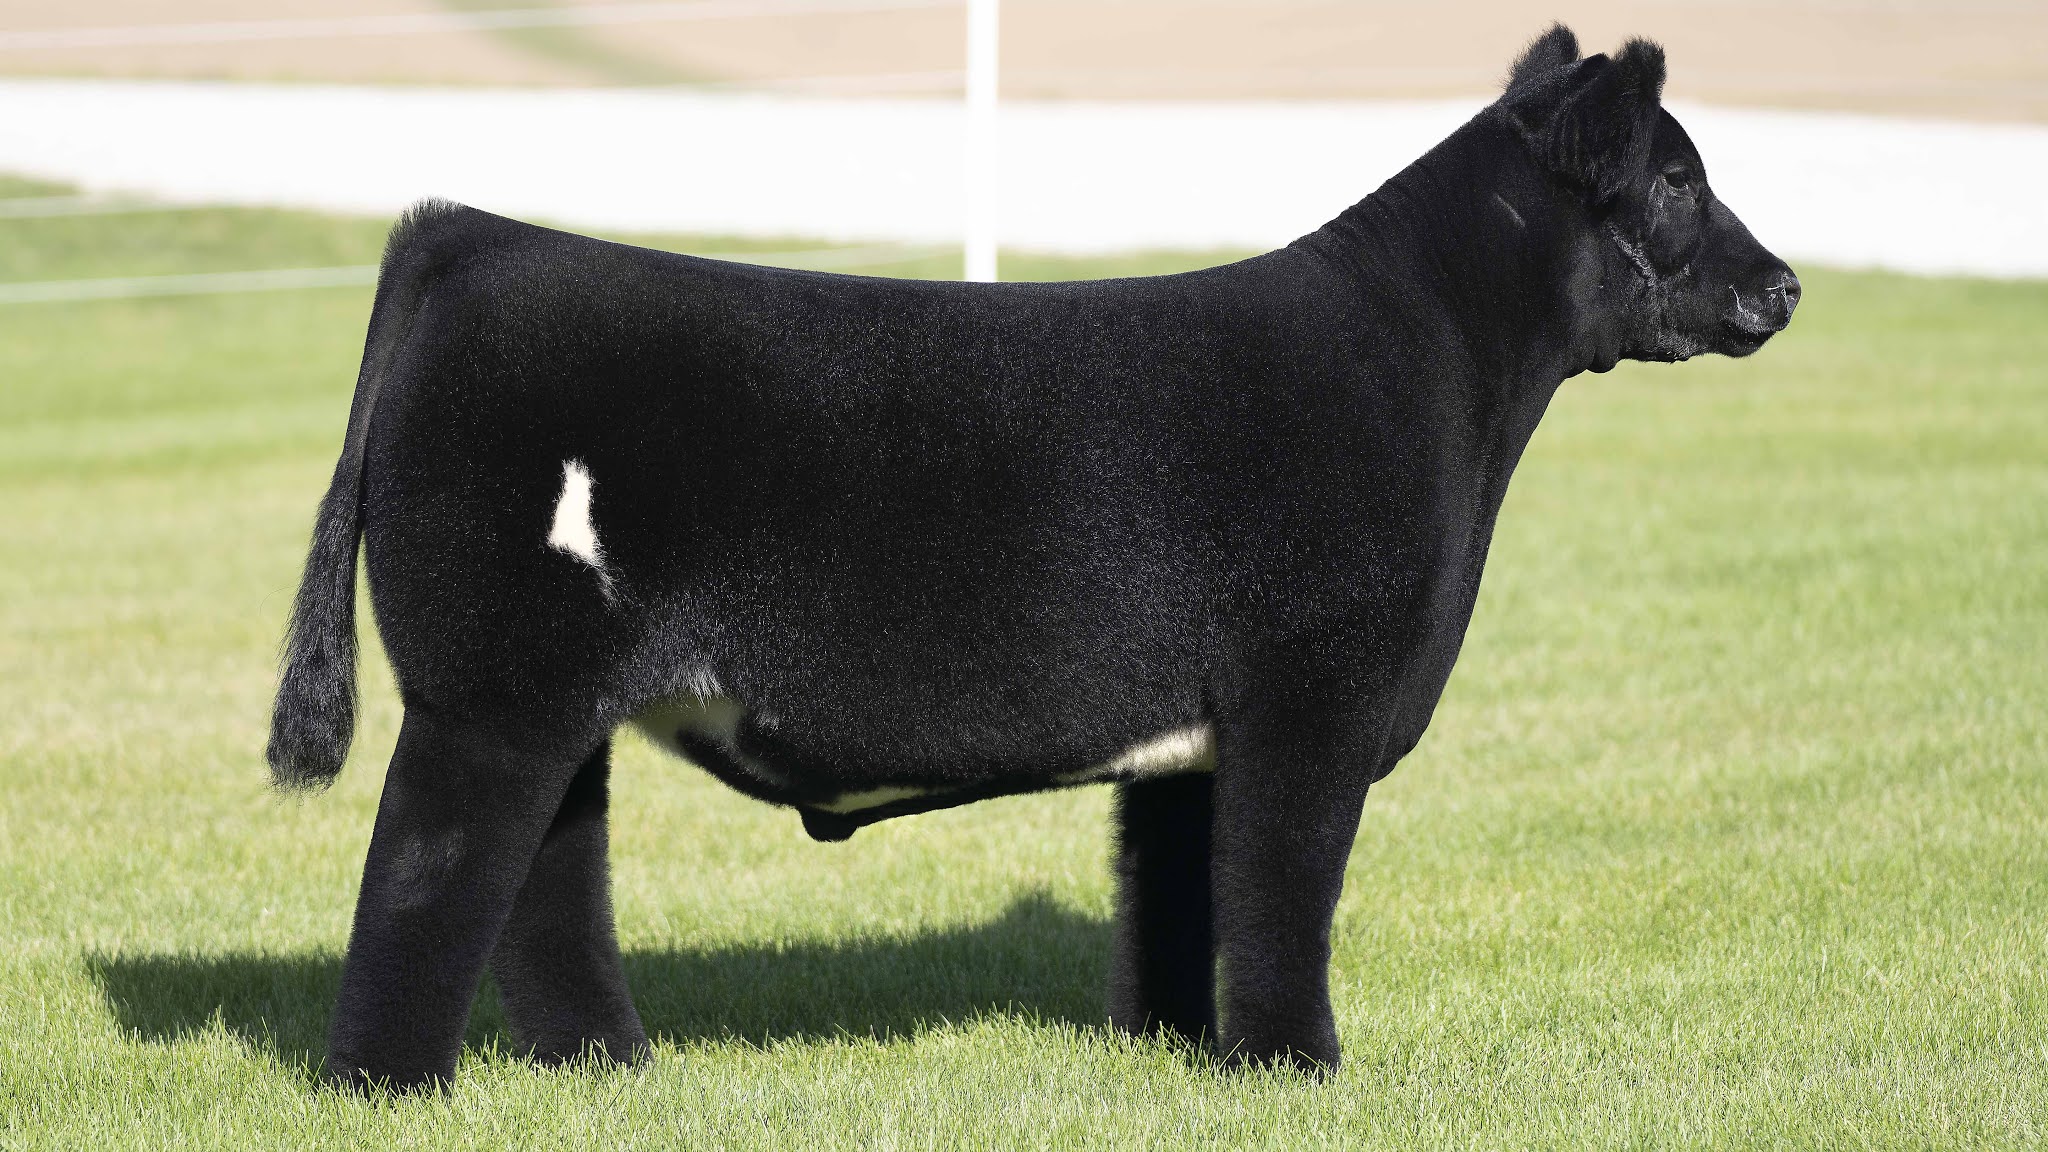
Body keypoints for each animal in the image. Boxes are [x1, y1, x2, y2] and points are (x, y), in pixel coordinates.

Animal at [267, 25, 1799, 1091]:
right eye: (1675, 177)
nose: (1784, 284)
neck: (1434, 375)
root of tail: (476, 240)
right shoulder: (1311, 701)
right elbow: (1284, 889)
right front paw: (1299, 1068)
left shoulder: (1199, 734)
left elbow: (1183, 895)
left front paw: (1185, 1058)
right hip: (490, 694)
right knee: (430, 873)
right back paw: (388, 1088)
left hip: (557, 702)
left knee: (546, 883)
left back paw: (607, 1069)